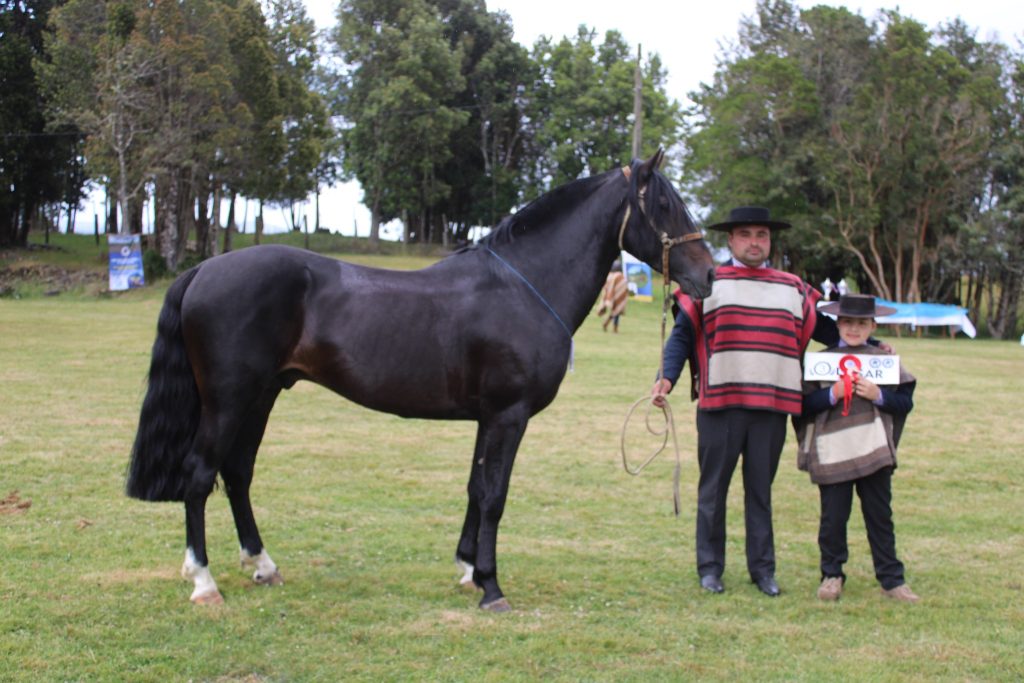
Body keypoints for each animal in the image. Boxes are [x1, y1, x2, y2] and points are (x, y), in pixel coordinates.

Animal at [125, 149, 715, 611]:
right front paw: (492, 588)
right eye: (664, 205)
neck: (521, 286)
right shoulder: (509, 416)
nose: (707, 274)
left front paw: (468, 570)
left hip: (262, 395)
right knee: (200, 475)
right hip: (228, 399)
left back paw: (263, 565)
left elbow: (476, 489)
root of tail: (204, 269)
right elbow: (495, 495)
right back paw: (204, 582)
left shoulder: (488, 418)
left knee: (238, 472)